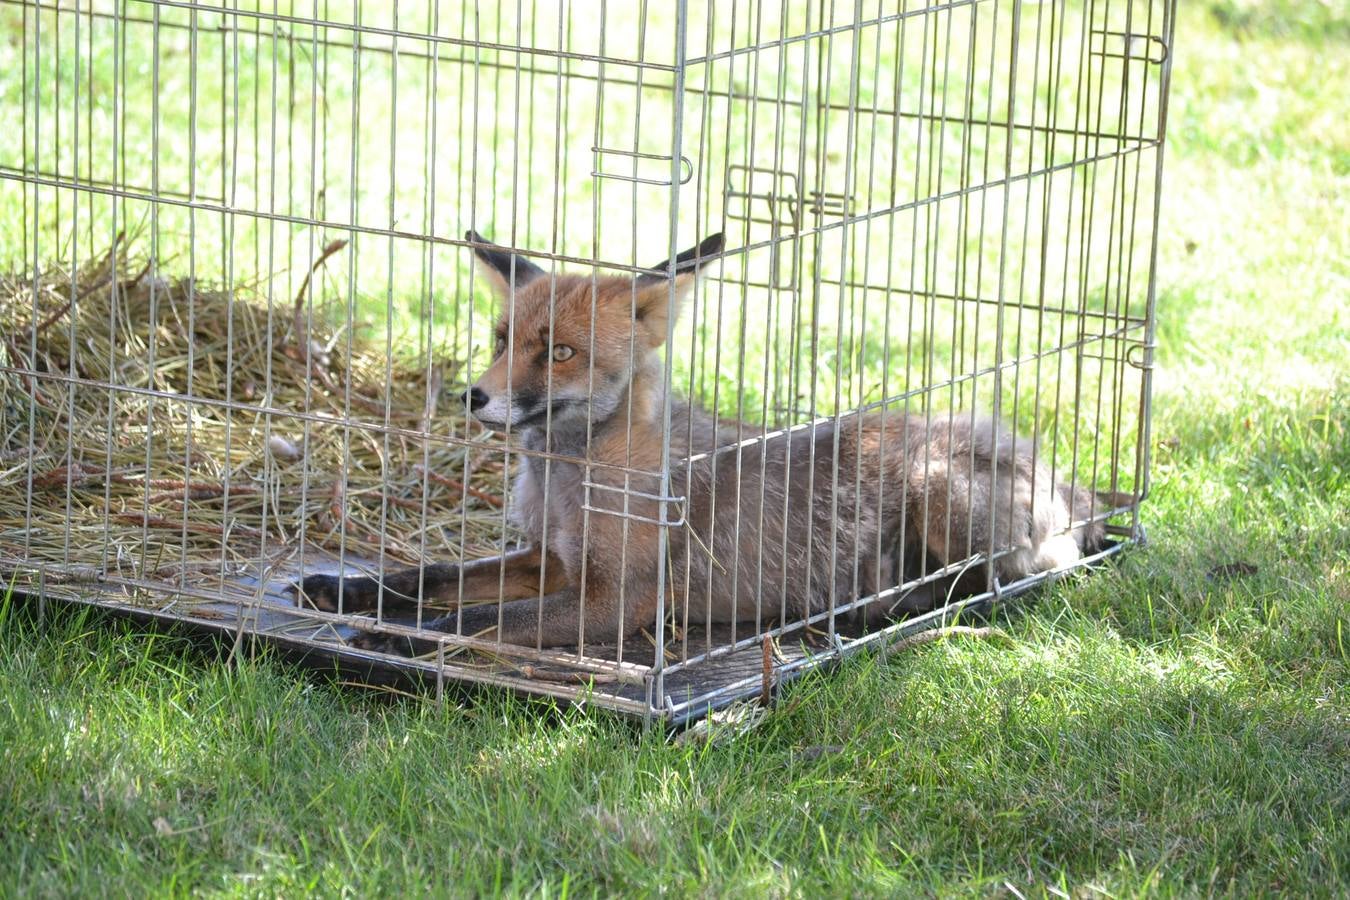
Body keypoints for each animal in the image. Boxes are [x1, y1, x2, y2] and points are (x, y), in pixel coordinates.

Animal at [295, 230, 1107, 655]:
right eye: (501, 340)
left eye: (559, 354)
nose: (475, 396)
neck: (571, 481)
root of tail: (1065, 479)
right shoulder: (550, 562)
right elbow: (432, 577)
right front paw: (349, 593)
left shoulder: (613, 601)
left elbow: (476, 621)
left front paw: (401, 639)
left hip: (938, 490)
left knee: (1026, 575)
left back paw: (882, 603)